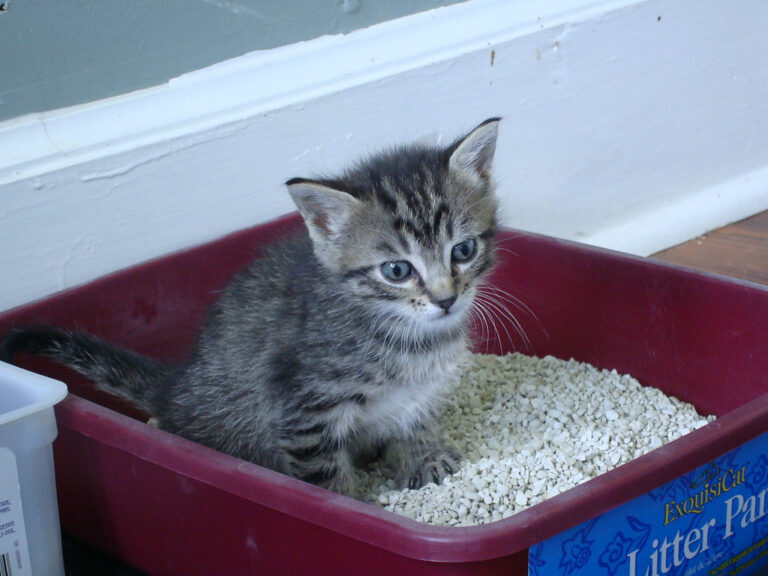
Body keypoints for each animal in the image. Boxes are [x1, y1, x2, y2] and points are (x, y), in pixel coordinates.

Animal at [0, 118, 500, 496]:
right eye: (396, 270)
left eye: (463, 250)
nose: (446, 299)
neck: (409, 336)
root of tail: (175, 389)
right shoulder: (304, 410)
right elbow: (326, 480)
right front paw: (358, 509)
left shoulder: (419, 392)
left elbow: (415, 423)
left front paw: (423, 458)